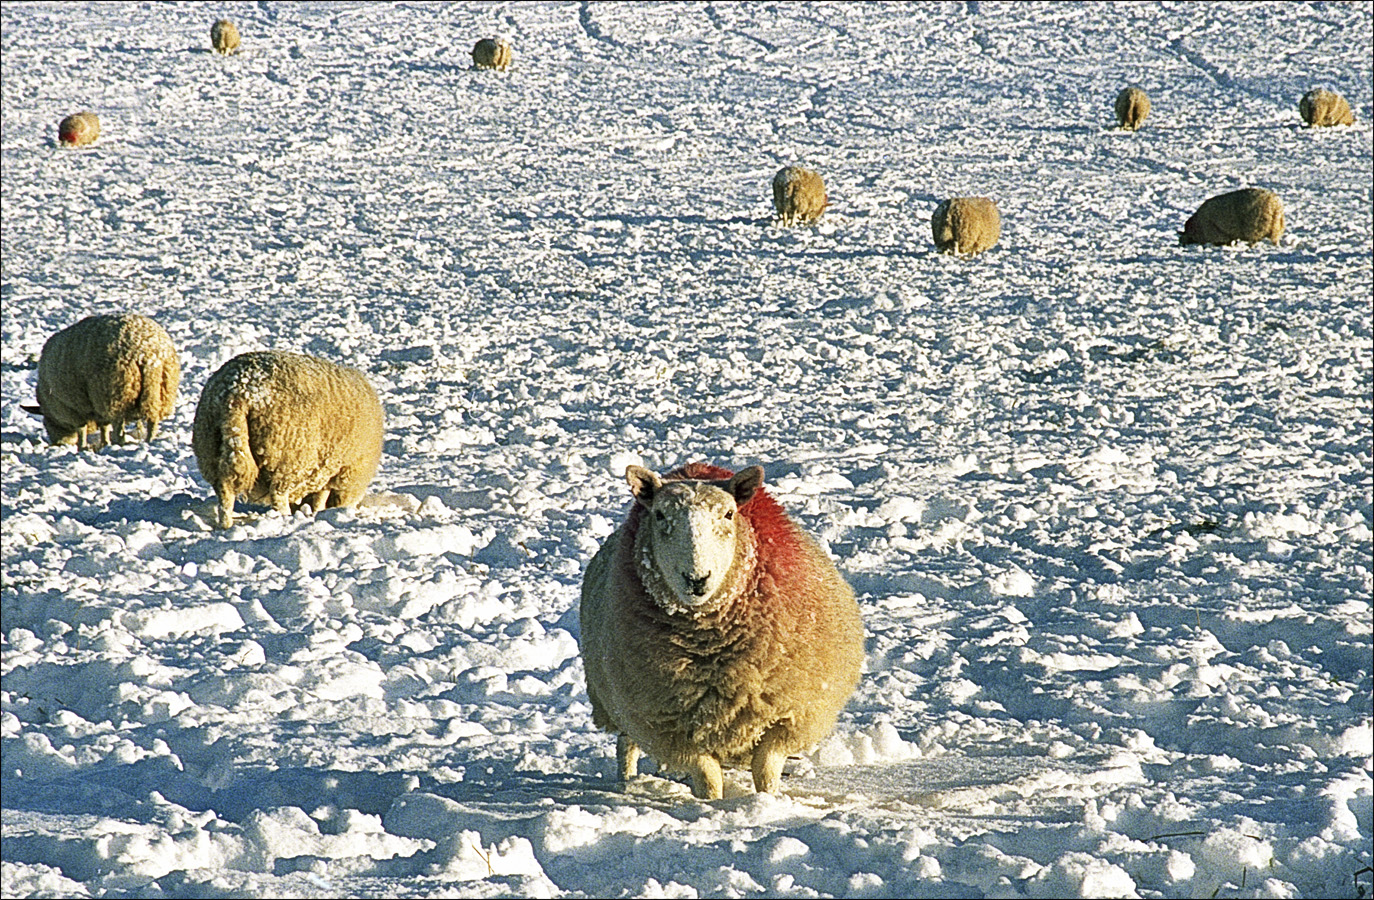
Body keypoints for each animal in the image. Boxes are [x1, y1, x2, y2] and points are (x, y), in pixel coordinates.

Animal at [22, 313, 179, 450]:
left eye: (46, 422)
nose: (59, 443)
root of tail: (146, 353)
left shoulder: (75, 407)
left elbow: (82, 429)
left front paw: (83, 447)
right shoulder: (96, 406)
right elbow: (104, 426)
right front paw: (104, 443)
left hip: (117, 395)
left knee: (119, 431)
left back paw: (118, 445)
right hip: (158, 392)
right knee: (152, 422)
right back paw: (148, 441)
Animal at [190, 351, 384, 530]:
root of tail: (238, 391)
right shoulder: (341, 468)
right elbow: (322, 496)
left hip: (210, 446)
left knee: (225, 491)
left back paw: (226, 524)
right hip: (288, 455)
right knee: (278, 494)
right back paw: (285, 518)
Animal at [577, 464, 857, 802]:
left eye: (728, 513)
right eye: (660, 515)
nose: (696, 579)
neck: (713, 652)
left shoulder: (787, 715)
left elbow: (766, 768)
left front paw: (768, 800)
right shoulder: (673, 728)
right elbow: (708, 779)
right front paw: (712, 807)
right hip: (622, 701)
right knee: (625, 744)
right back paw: (627, 782)